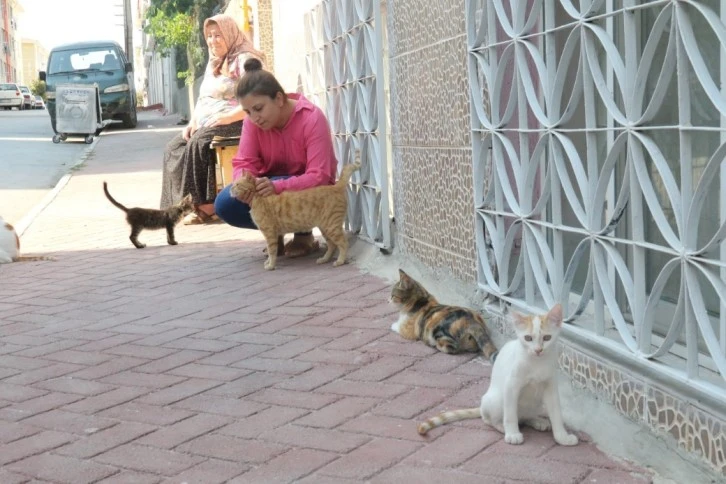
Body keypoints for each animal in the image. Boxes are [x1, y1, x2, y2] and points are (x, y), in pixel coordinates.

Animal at [230, 159, 362, 272]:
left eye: (237, 185)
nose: (230, 189)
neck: (258, 198)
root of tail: (336, 186)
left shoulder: (269, 233)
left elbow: (272, 251)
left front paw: (271, 265)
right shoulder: (270, 234)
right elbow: (270, 251)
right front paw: (268, 262)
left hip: (331, 226)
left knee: (343, 243)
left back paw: (340, 261)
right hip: (326, 228)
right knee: (332, 245)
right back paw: (324, 259)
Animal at [420, 304, 580, 448]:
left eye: (547, 337)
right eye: (528, 338)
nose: (538, 350)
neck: (537, 363)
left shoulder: (550, 386)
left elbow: (556, 414)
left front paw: (562, 437)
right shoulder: (511, 386)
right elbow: (510, 415)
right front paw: (512, 434)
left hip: (536, 402)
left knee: (524, 417)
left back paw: (537, 420)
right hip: (496, 399)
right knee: (489, 419)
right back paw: (502, 427)